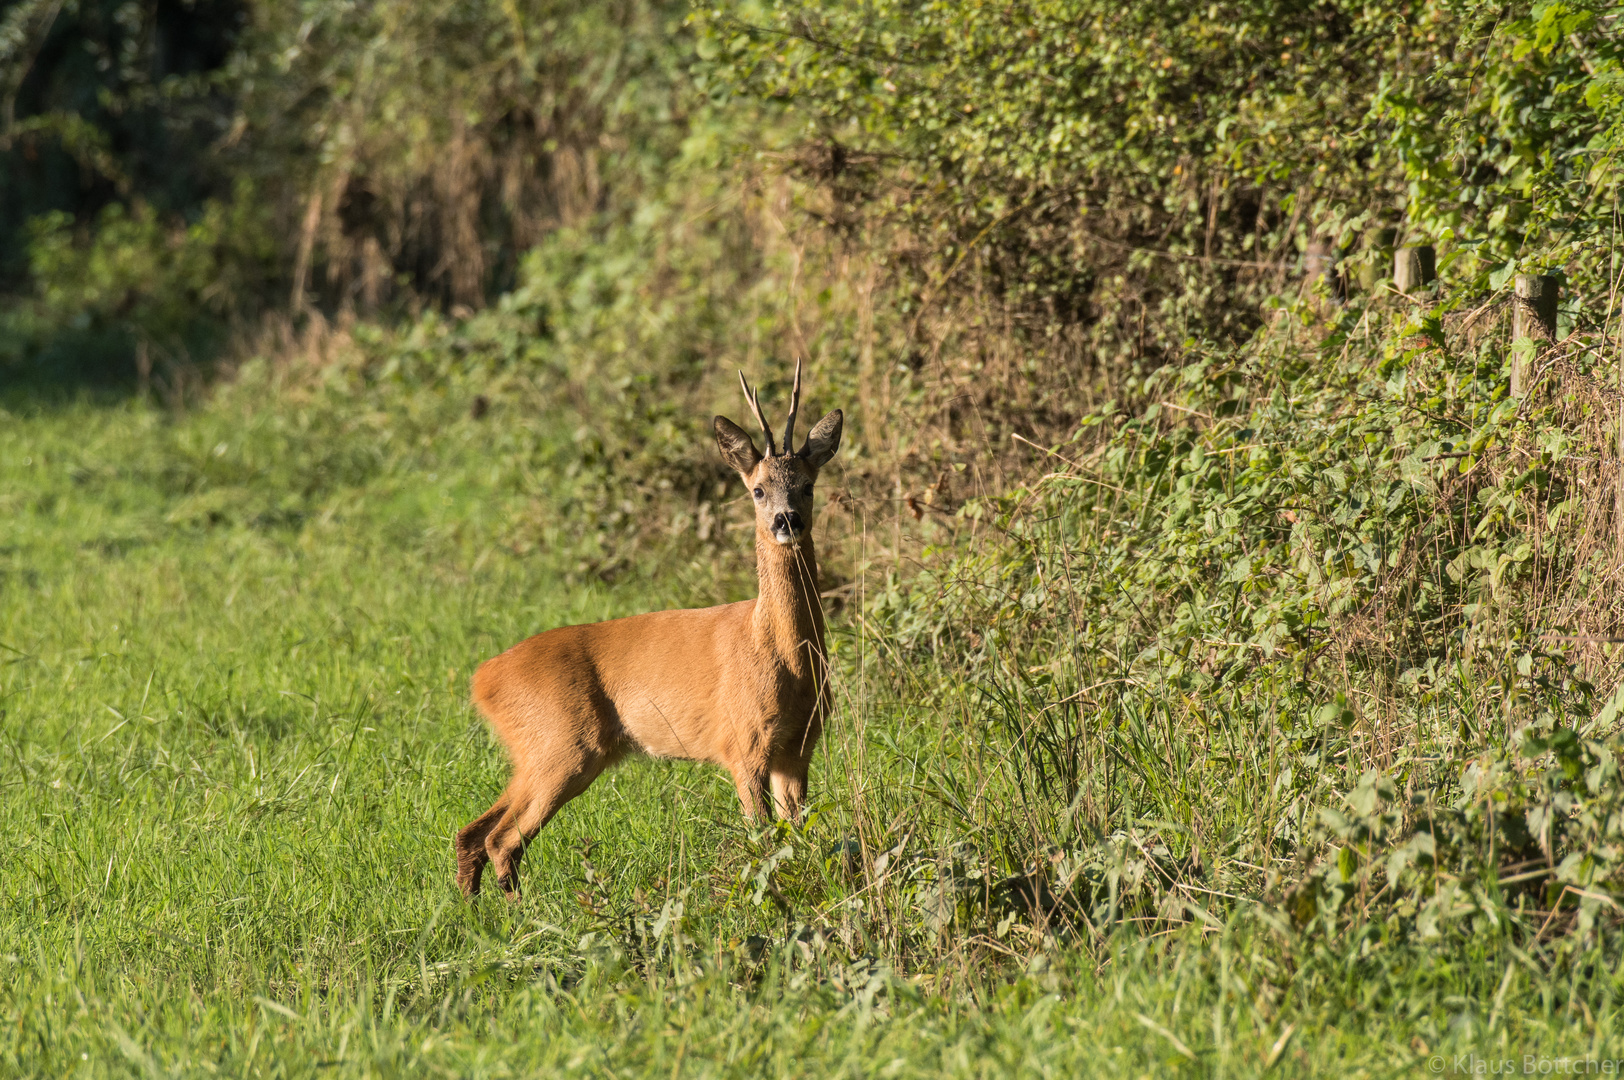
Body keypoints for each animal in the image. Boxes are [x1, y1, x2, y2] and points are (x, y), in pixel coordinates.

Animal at [454, 367, 844, 896]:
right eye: (758, 490)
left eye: (807, 485)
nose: (788, 520)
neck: (785, 657)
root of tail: (484, 678)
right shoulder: (742, 744)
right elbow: (764, 841)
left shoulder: (799, 748)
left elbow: (795, 834)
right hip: (563, 745)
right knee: (502, 839)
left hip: (536, 752)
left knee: (473, 831)